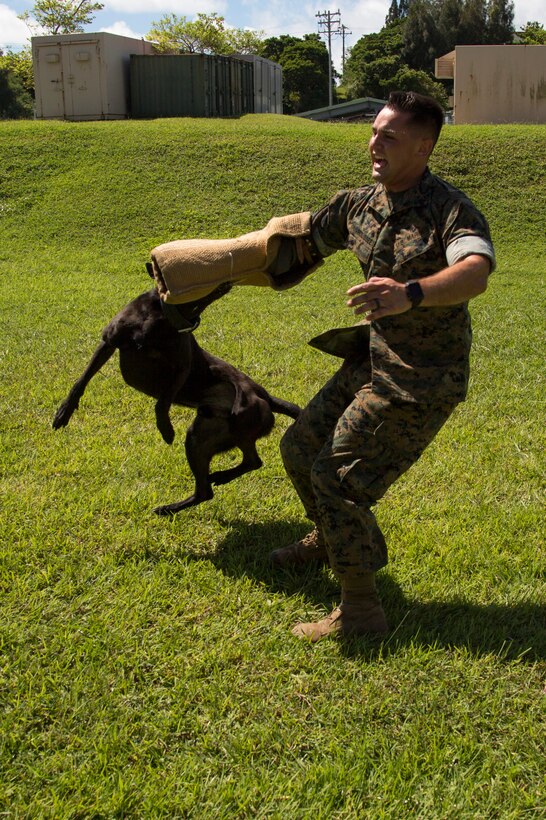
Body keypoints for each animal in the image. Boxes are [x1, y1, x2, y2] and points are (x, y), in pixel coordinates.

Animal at [53, 278, 300, 516]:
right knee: (238, 469)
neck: (158, 318)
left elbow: (162, 402)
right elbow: (82, 380)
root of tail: (264, 396)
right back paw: (188, 497)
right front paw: (64, 412)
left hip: (229, 428)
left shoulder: (182, 365)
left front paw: (166, 430)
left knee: (235, 471)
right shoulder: (109, 341)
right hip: (203, 438)